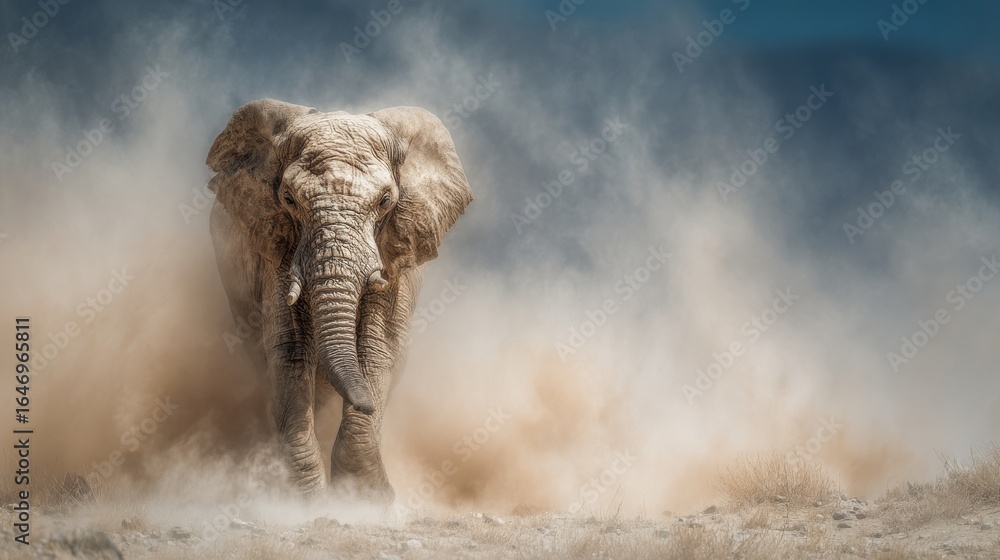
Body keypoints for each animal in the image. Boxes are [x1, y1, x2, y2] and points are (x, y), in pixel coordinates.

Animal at [205, 99, 473, 503]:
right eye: (288, 199)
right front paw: (308, 502)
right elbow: (290, 349)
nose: (365, 403)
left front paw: (364, 501)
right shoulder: (277, 244)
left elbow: (377, 348)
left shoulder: (395, 249)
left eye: (386, 201)